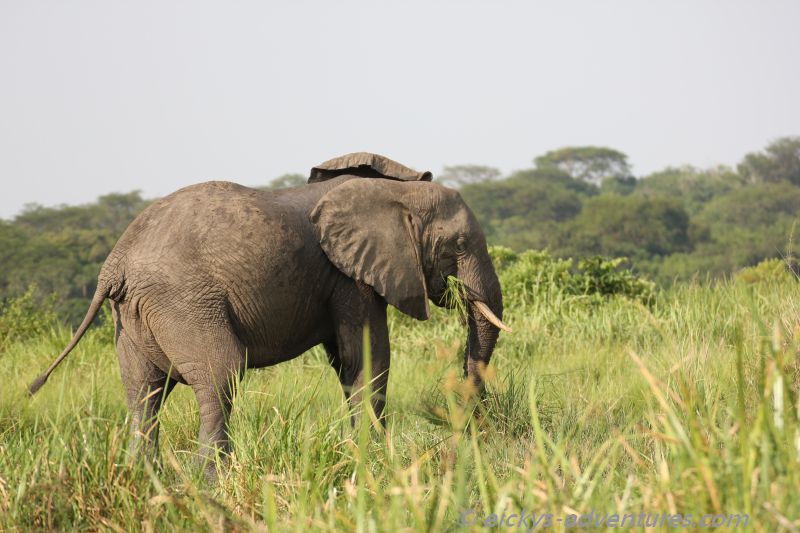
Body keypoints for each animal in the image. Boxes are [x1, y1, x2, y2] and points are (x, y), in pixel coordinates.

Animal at [29, 152, 511, 477]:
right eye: (459, 245)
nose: (472, 426)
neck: (395, 193)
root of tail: (116, 262)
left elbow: (346, 361)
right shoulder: (348, 276)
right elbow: (367, 356)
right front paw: (375, 459)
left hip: (133, 318)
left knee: (143, 392)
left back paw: (146, 479)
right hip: (182, 302)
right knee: (220, 374)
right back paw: (210, 479)